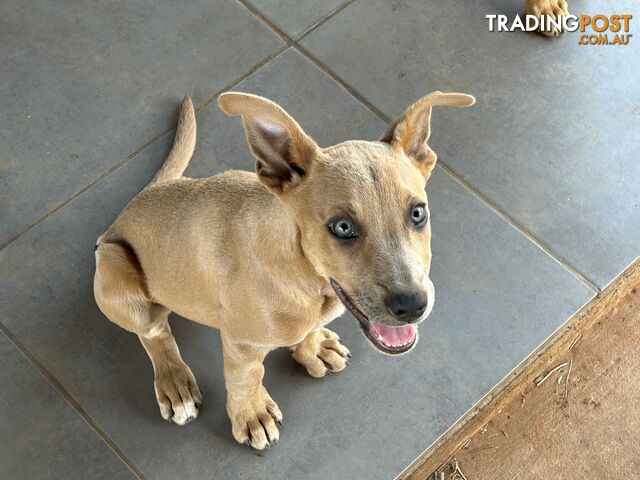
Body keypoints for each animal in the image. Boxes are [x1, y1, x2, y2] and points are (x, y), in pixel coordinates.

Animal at [94, 90, 476, 450]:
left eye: (418, 213)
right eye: (341, 227)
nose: (412, 305)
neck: (307, 276)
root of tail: (136, 201)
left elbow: (307, 330)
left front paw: (313, 347)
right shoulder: (241, 343)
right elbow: (246, 378)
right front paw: (251, 414)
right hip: (114, 271)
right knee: (155, 332)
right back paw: (175, 382)